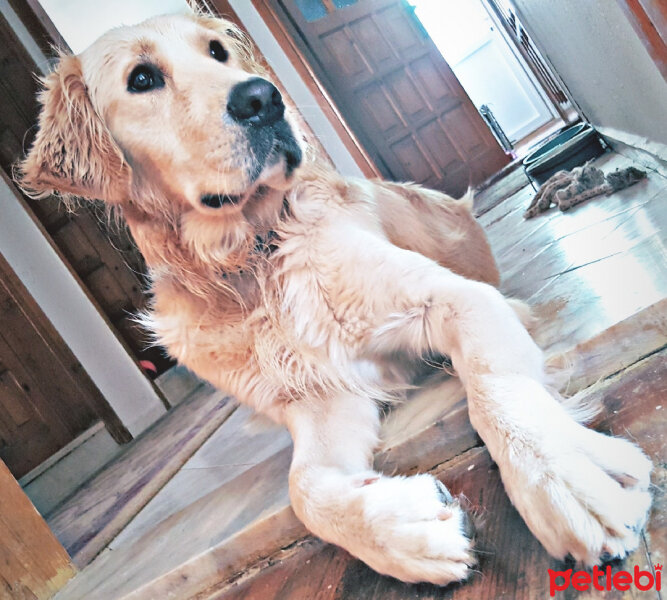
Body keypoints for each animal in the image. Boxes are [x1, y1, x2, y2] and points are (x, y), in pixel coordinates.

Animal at [19, 12, 652, 584]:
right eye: (143, 78)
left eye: (218, 52)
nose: (263, 98)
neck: (254, 259)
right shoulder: (321, 395)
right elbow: (304, 490)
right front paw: (409, 530)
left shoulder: (458, 298)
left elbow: (495, 389)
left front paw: (564, 479)